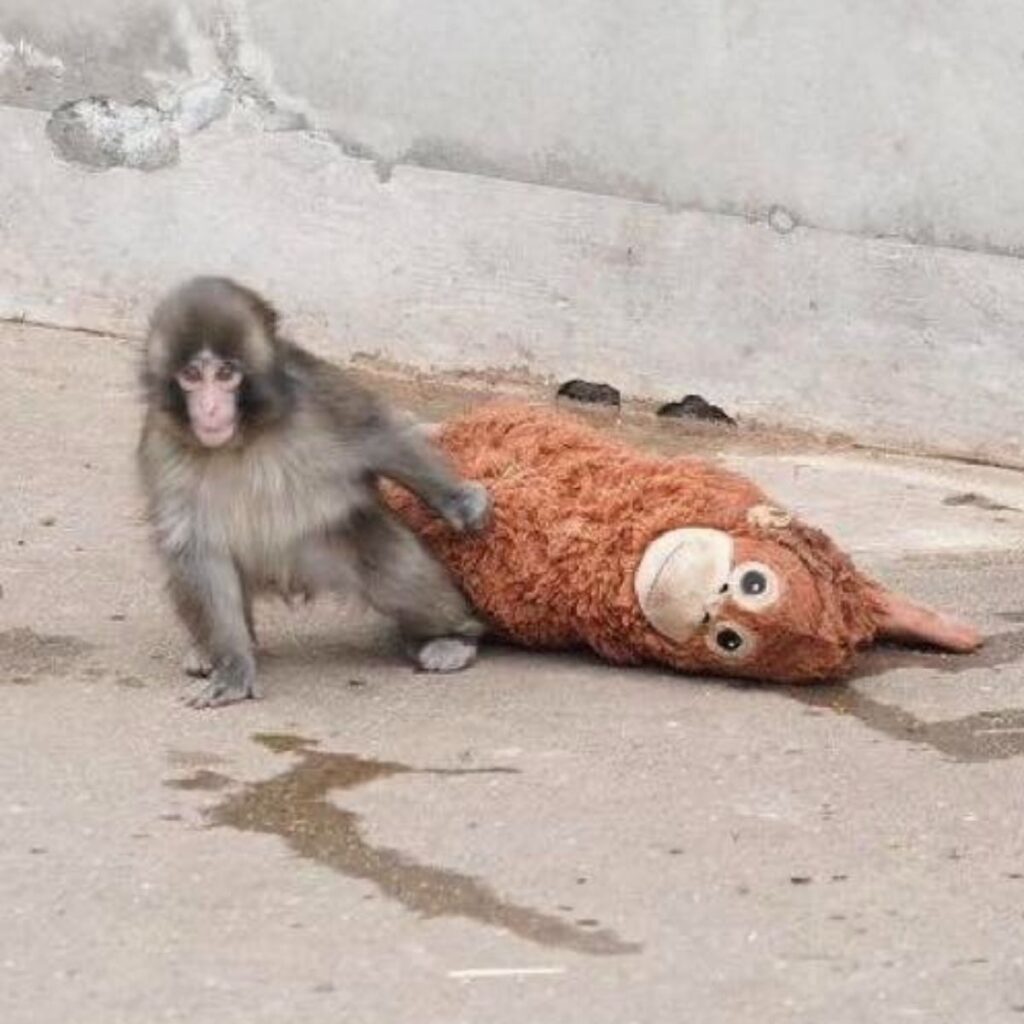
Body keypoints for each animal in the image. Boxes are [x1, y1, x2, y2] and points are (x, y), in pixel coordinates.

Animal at [137, 276, 490, 708]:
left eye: (225, 373)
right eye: (191, 374)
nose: (209, 409)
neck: (241, 439)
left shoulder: (317, 397)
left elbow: (377, 437)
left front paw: (455, 500)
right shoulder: (162, 446)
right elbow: (196, 548)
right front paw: (233, 669)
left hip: (323, 547)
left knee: (394, 571)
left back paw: (450, 636)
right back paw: (211, 650)